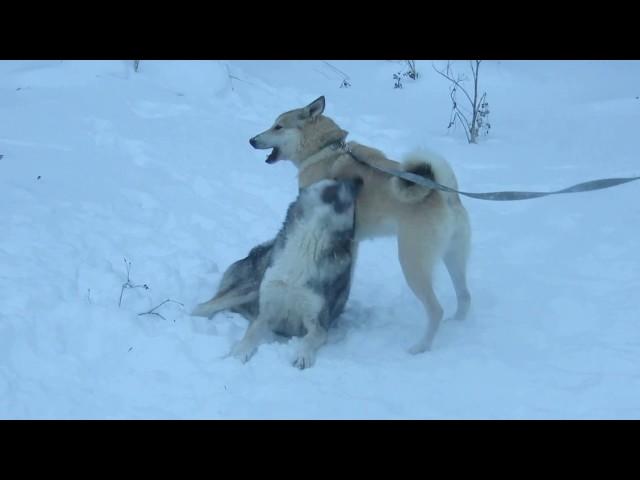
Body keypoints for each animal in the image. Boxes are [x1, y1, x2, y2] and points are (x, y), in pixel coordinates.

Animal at [190, 178, 362, 370]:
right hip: (249, 289)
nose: (357, 181)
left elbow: (308, 340)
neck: (307, 245)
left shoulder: (318, 323)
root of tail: (254, 252)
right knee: (202, 307)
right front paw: (239, 352)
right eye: (337, 180)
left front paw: (302, 356)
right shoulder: (266, 314)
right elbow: (250, 334)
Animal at [249, 96, 470, 352]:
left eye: (278, 127)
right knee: (465, 296)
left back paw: (420, 347)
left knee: (436, 310)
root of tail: (444, 195)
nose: (252, 140)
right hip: (454, 258)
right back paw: (458, 325)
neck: (323, 150)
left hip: (412, 263)